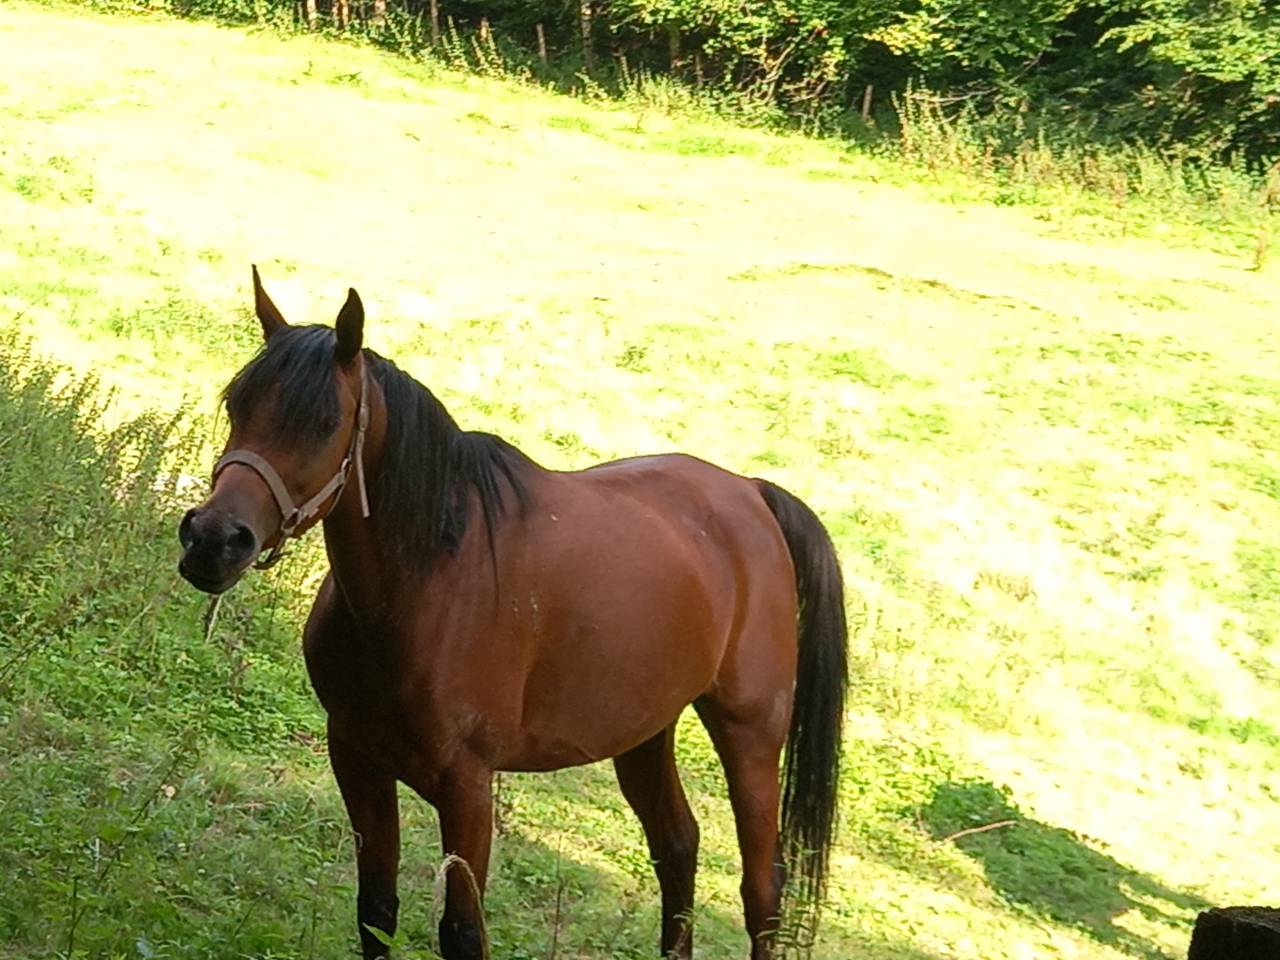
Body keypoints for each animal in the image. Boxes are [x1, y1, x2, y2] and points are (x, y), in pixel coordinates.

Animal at [177, 267, 849, 960]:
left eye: (324, 422)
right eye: (237, 404)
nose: (212, 540)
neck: (426, 585)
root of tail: (750, 494)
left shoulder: (469, 787)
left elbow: (462, 933)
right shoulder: (356, 757)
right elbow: (376, 911)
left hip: (750, 733)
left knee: (761, 888)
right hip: (645, 731)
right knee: (677, 846)